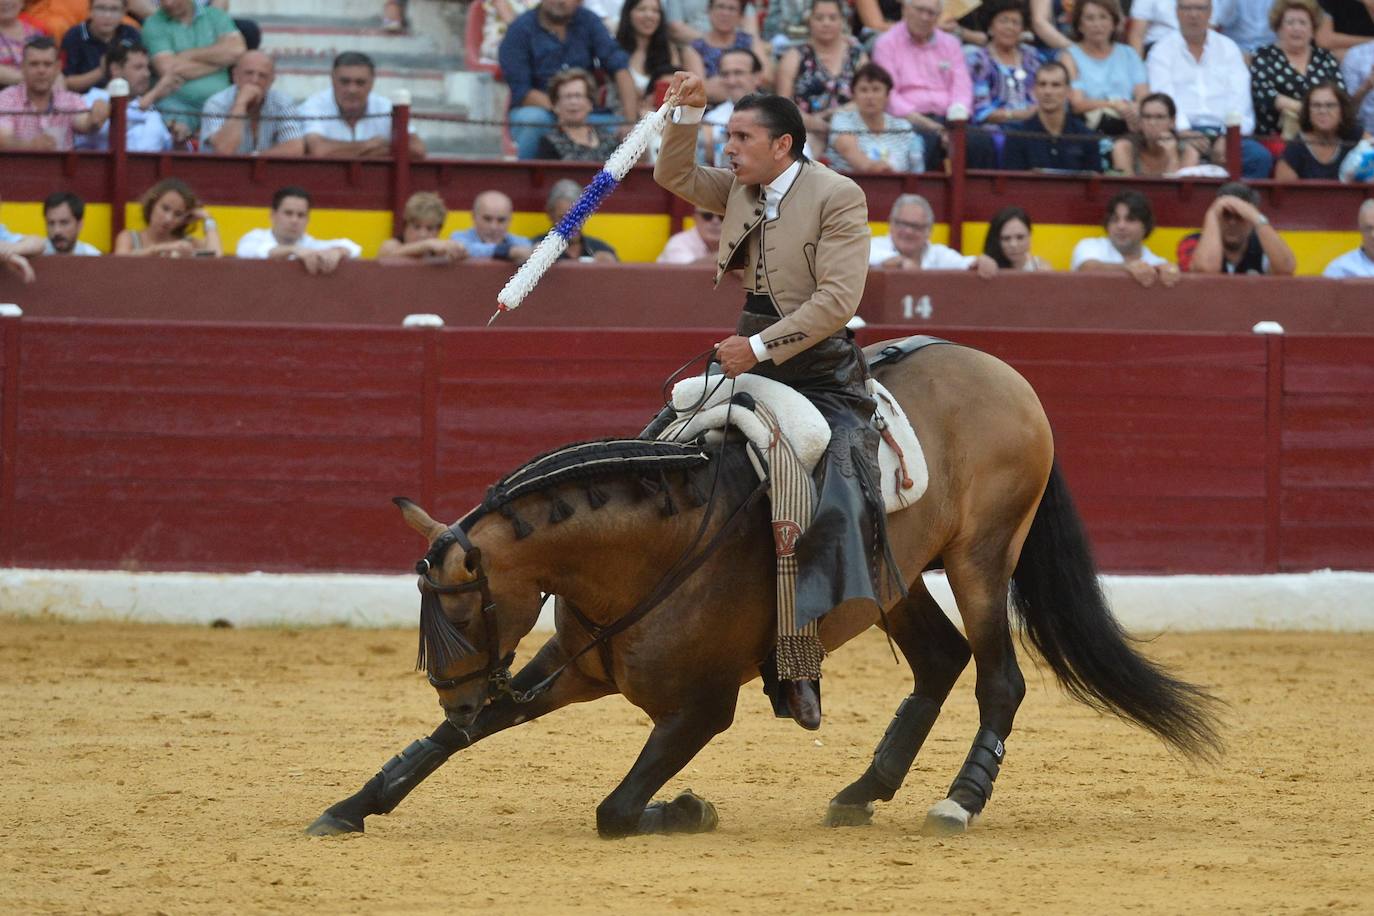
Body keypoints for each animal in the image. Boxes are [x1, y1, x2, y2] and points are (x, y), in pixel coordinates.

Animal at [306, 336, 1220, 840]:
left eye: (464, 608)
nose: (458, 696)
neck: (652, 551)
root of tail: (1007, 376)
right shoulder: (570, 669)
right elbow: (451, 743)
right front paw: (352, 804)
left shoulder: (704, 707)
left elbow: (616, 809)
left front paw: (684, 810)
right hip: (890, 580)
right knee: (940, 661)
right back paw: (862, 791)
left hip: (980, 560)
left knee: (999, 677)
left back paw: (959, 800)